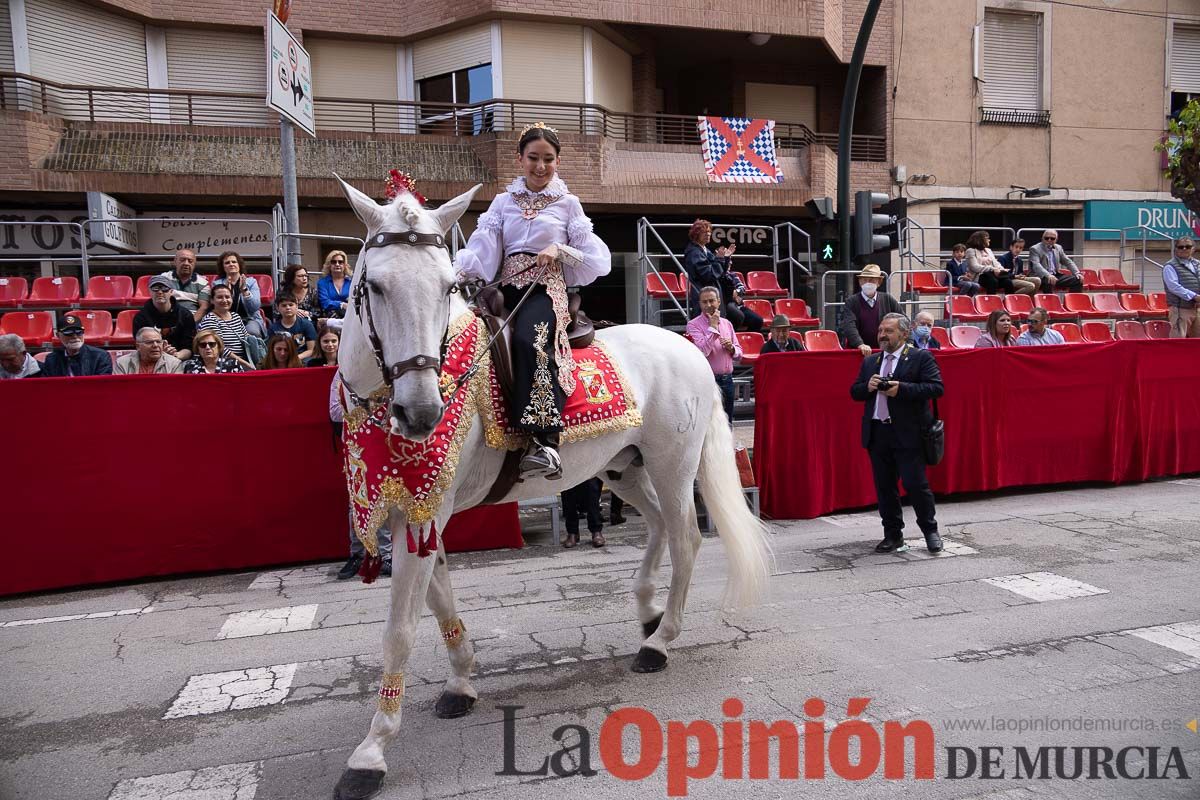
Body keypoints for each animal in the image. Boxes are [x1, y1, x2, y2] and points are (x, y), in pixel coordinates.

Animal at [333, 179, 772, 800]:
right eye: (372, 286)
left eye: (446, 287)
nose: (420, 412)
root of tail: (688, 346)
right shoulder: (418, 510)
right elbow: (439, 597)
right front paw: (461, 683)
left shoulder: (425, 508)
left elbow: (399, 629)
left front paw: (370, 754)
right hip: (622, 469)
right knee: (660, 524)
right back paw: (648, 611)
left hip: (672, 464)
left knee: (686, 537)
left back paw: (659, 643)